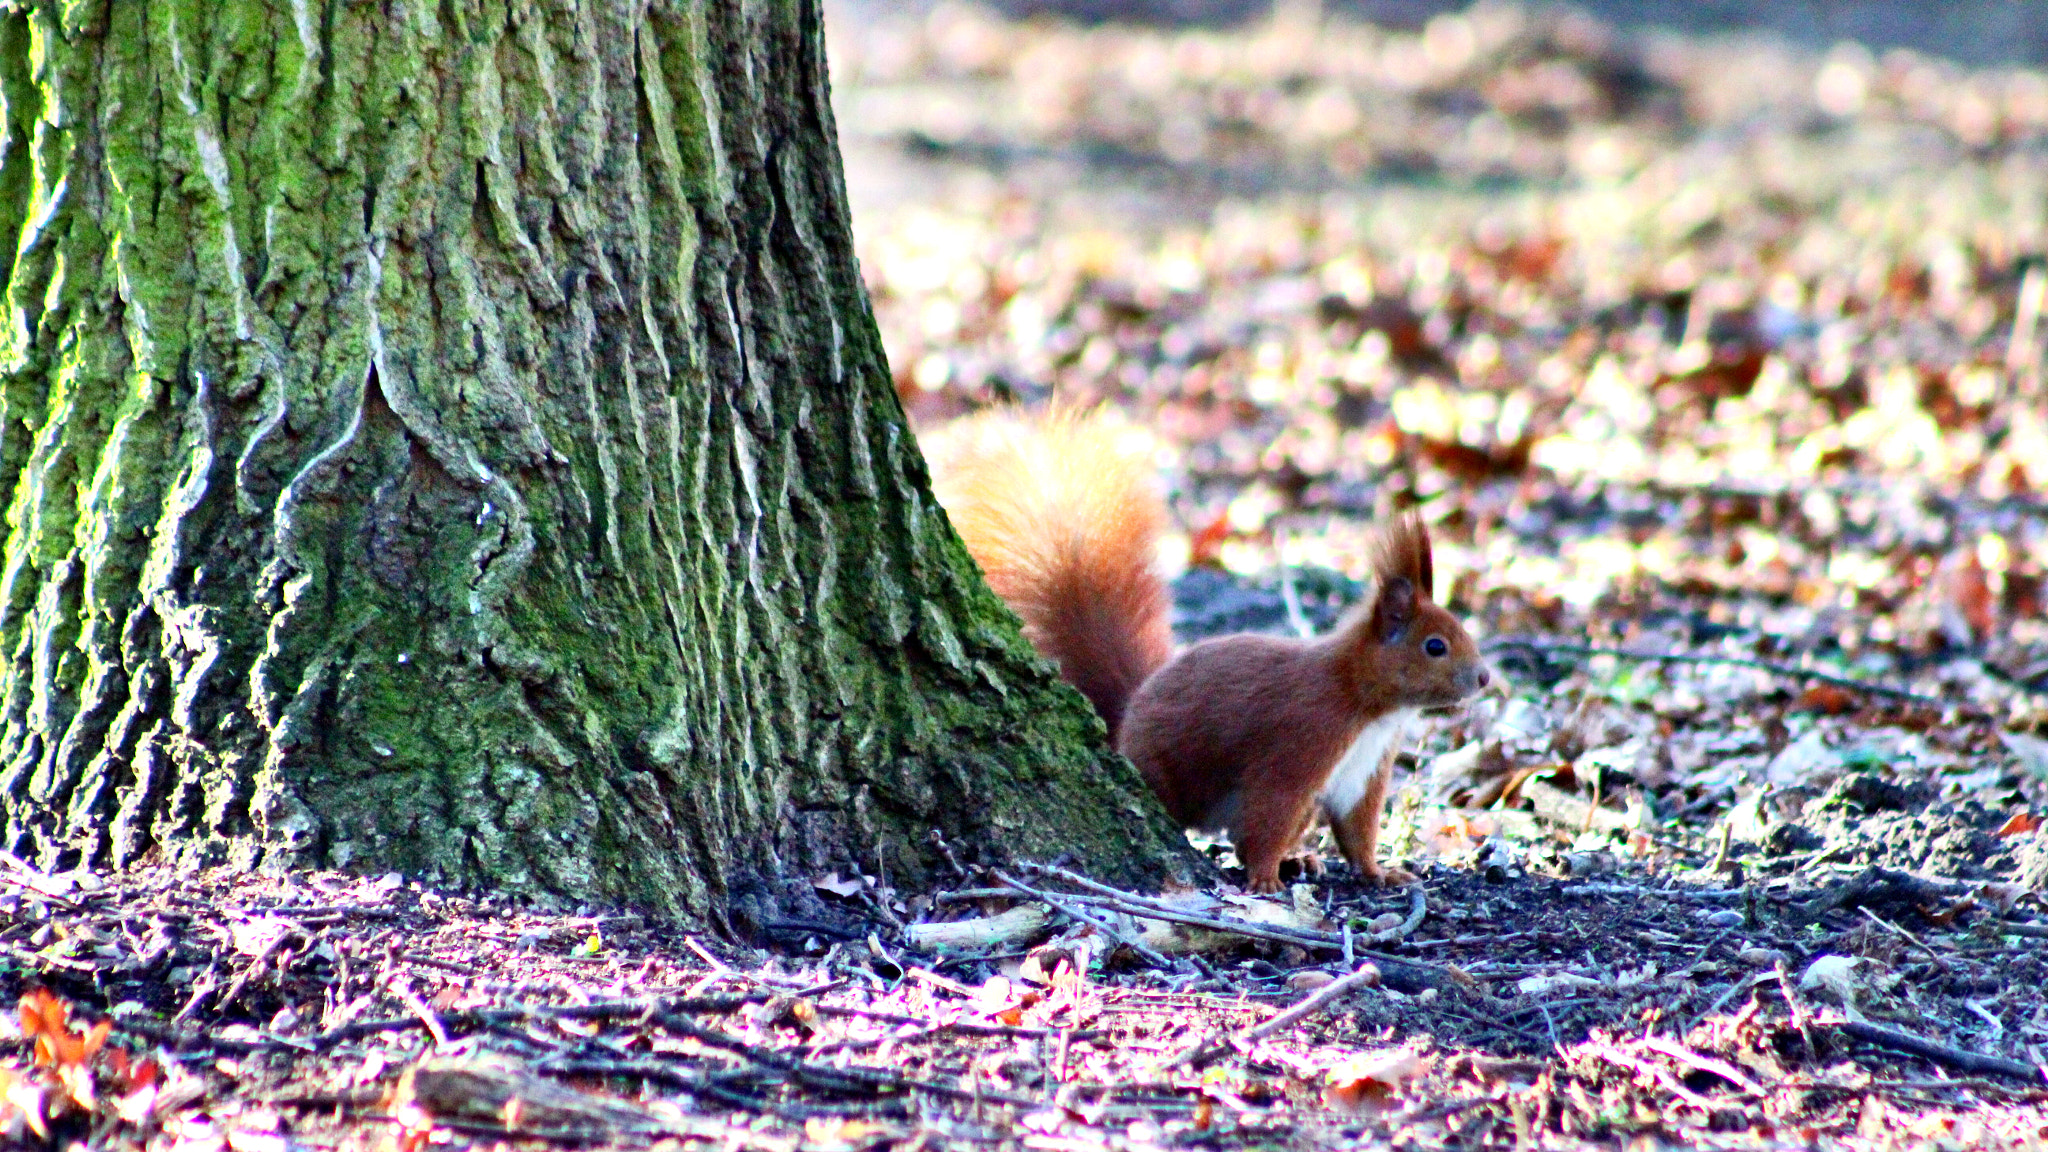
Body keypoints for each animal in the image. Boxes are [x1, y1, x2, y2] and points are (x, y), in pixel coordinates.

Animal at [933, 407, 1490, 893]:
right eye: (1435, 646)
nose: (1484, 678)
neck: (1365, 701)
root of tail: (1126, 716)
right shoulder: (1302, 738)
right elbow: (1270, 810)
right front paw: (1263, 879)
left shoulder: (1364, 769)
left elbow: (1356, 830)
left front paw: (1379, 873)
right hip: (1172, 777)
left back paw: (1300, 859)